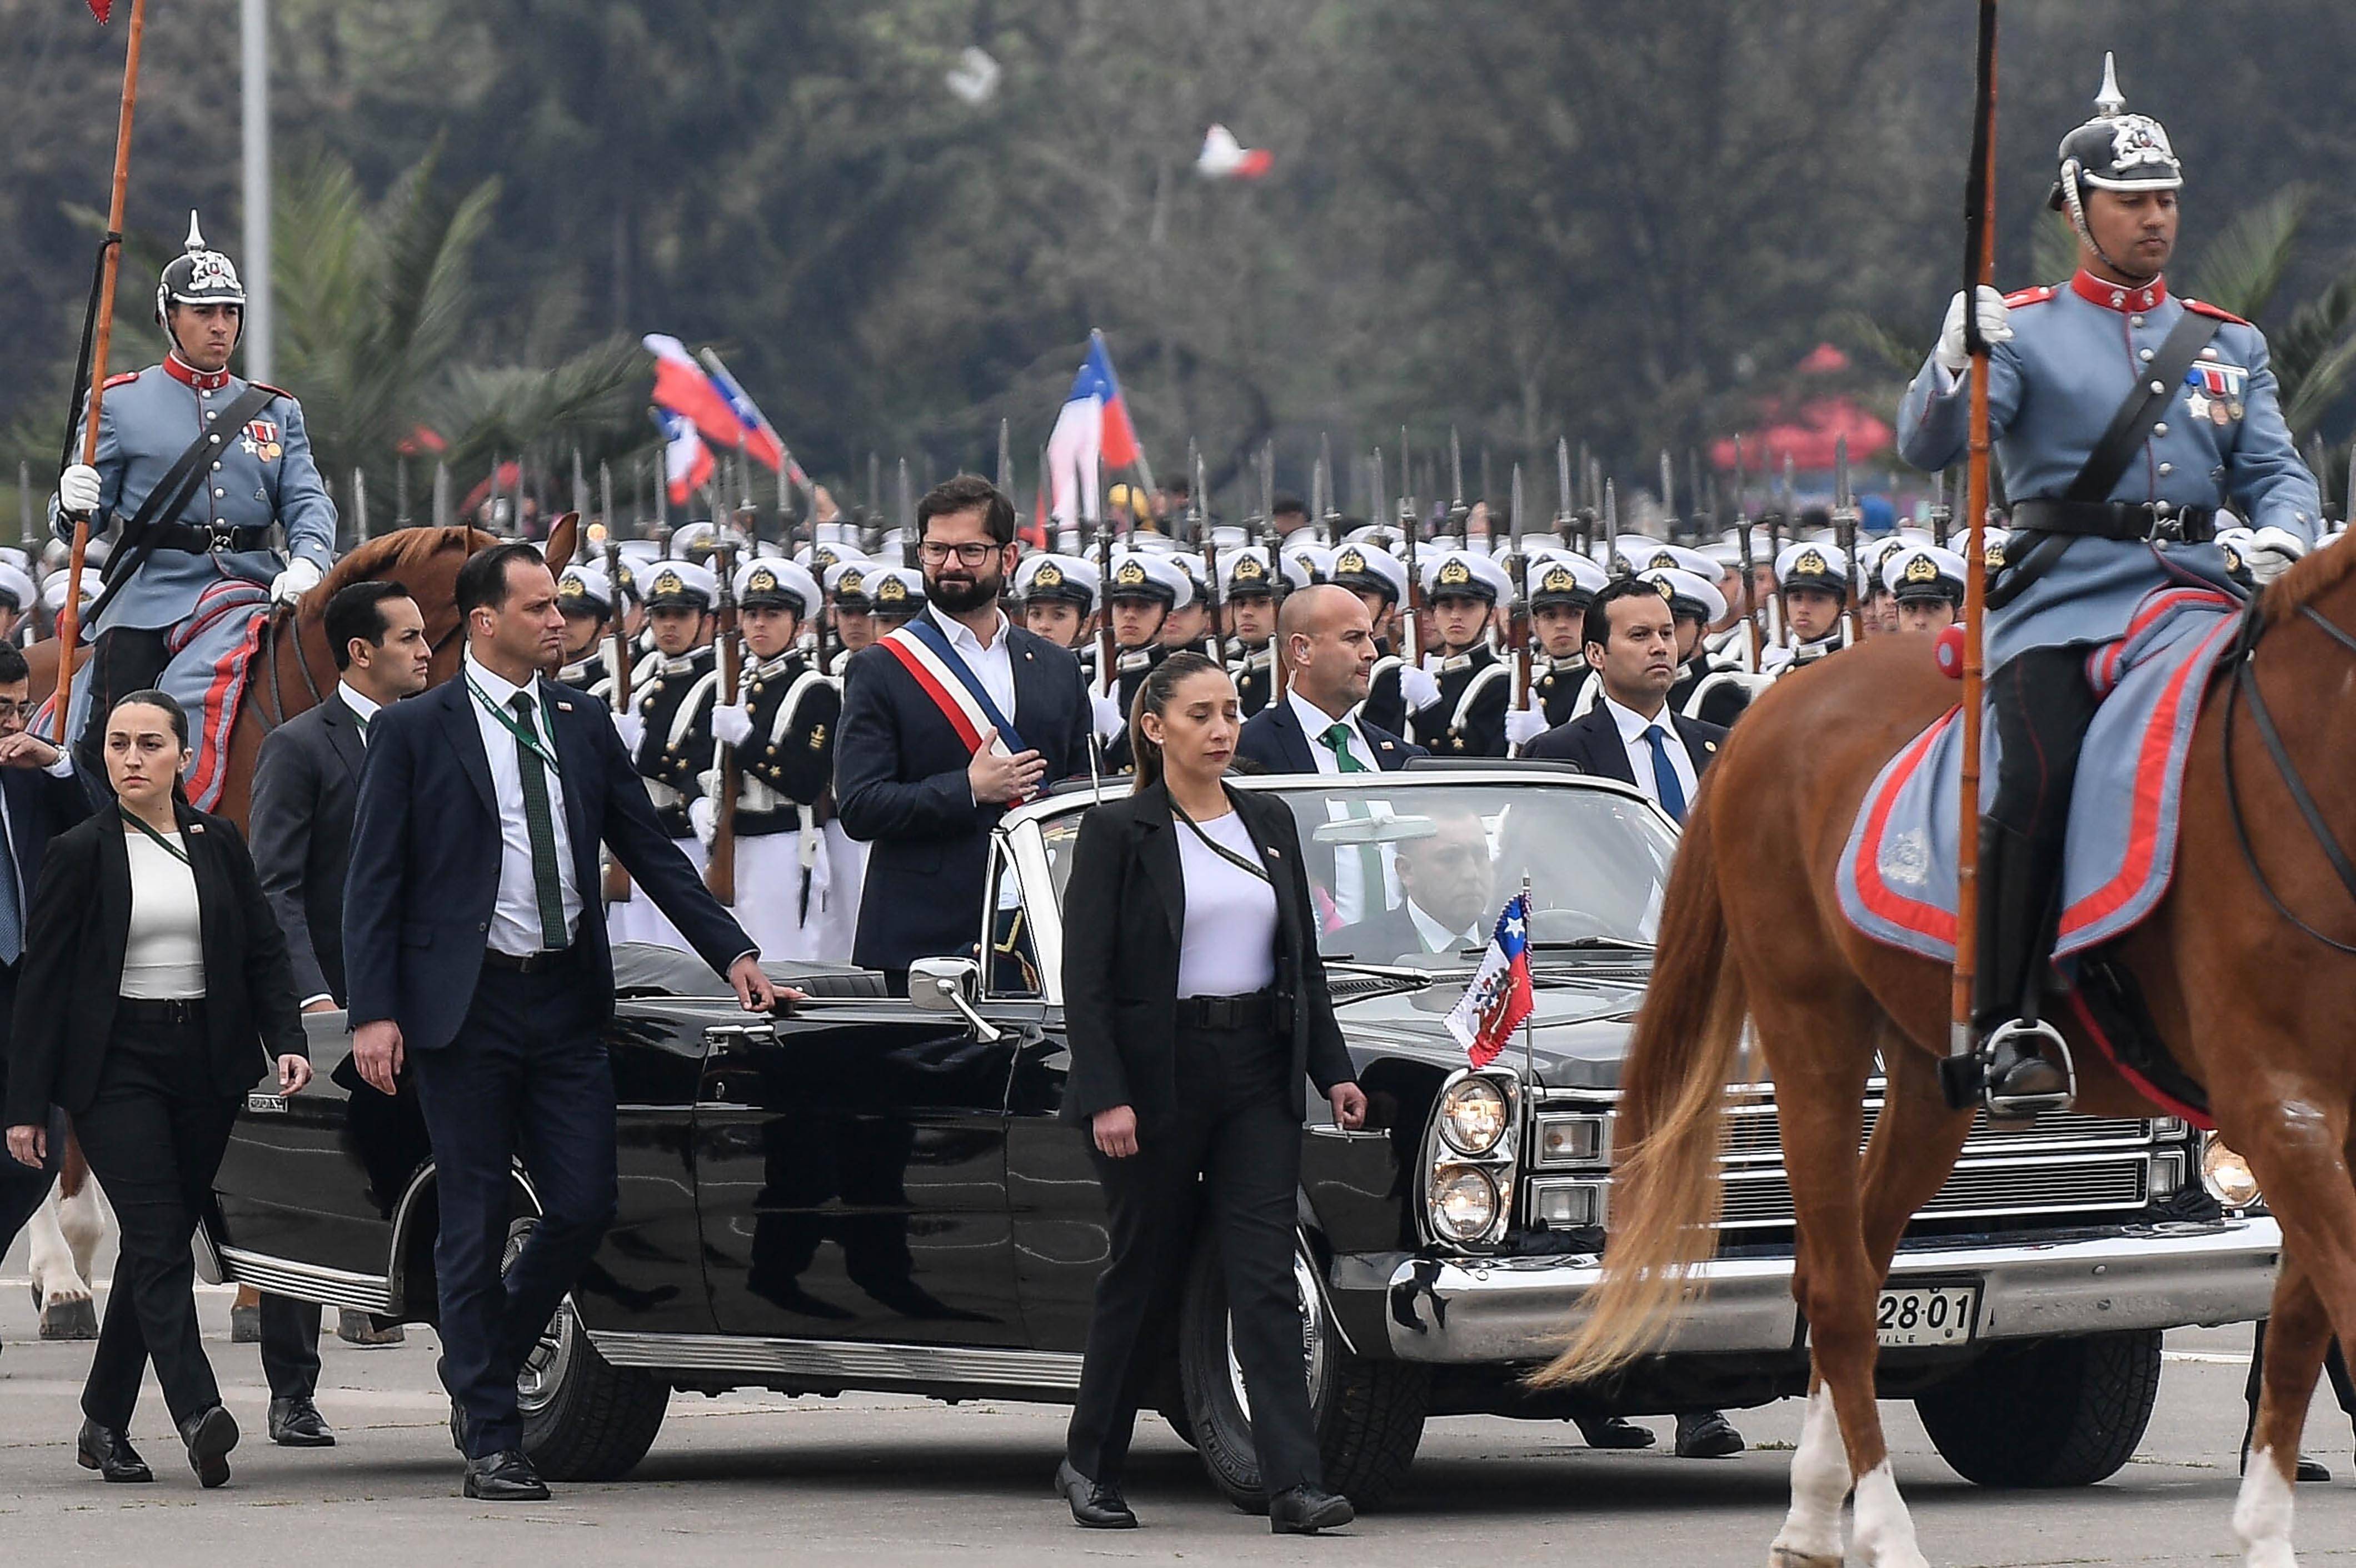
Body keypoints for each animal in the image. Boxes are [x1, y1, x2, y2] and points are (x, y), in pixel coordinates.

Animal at [1545, 541, 2356, 1563]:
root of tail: (1762, 720)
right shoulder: (2277, 1104)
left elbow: (2298, 1326)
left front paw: (2266, 1531)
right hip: (1813, 1027)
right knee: (1838, 1287)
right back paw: (1881, 1527)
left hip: (1930, 1079)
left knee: (1847, 1267)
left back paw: (1816, 1511)